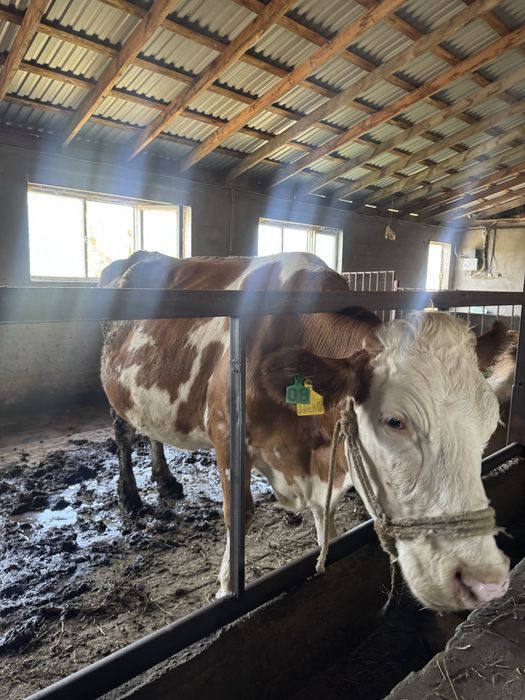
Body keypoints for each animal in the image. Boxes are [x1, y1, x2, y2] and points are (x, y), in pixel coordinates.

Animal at [100, 251, 510, 611]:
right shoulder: (225, 435)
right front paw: (226, 589)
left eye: (491, 422)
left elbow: (325, 519)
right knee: (124, 434)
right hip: (116, 392)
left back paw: (165, 479)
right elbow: (238, 516)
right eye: (395, 421)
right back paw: (130, 497)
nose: (484, 582)